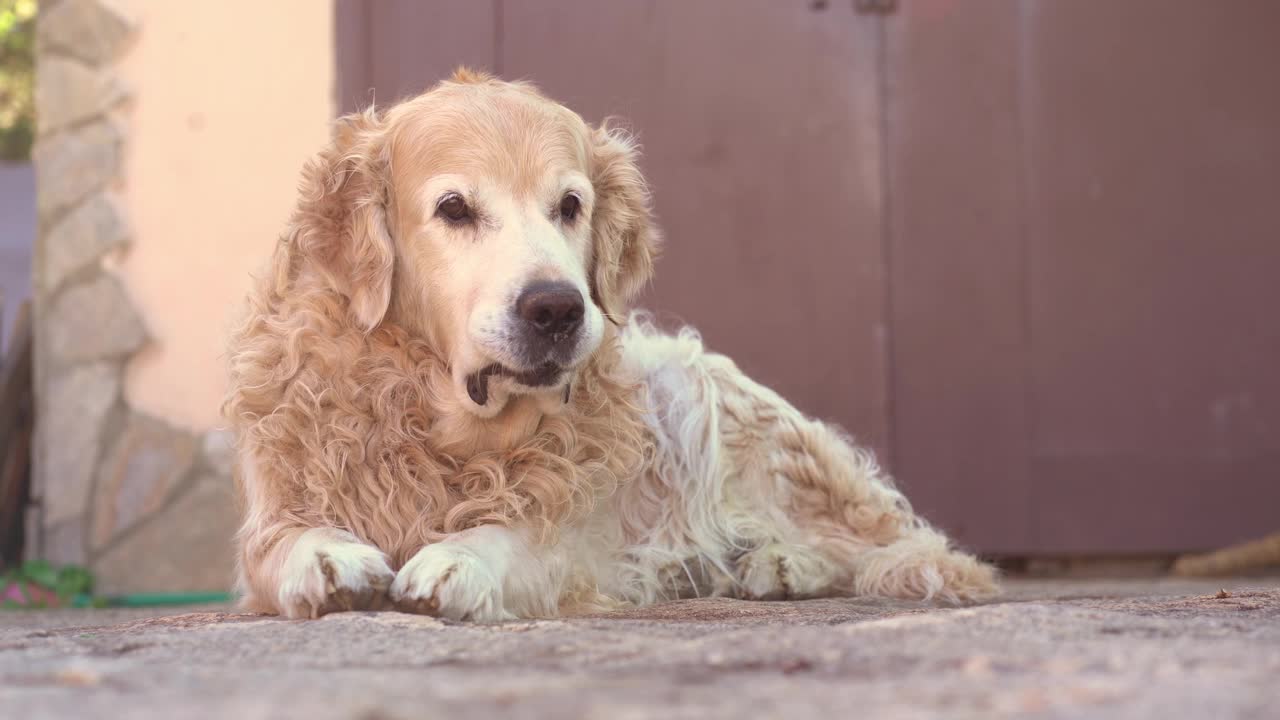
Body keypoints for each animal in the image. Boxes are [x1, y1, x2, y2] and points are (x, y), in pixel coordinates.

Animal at [222, 68, 998, 617]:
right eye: (454, 209)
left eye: (570, 206)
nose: (556, 308)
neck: (442, 425)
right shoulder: (272, 510)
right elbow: (281, 542)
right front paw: (324, 557)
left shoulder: (570, 537)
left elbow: (518, 535)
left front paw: (461, 559)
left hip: (704, 393)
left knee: (878, 546)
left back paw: (780, 566)